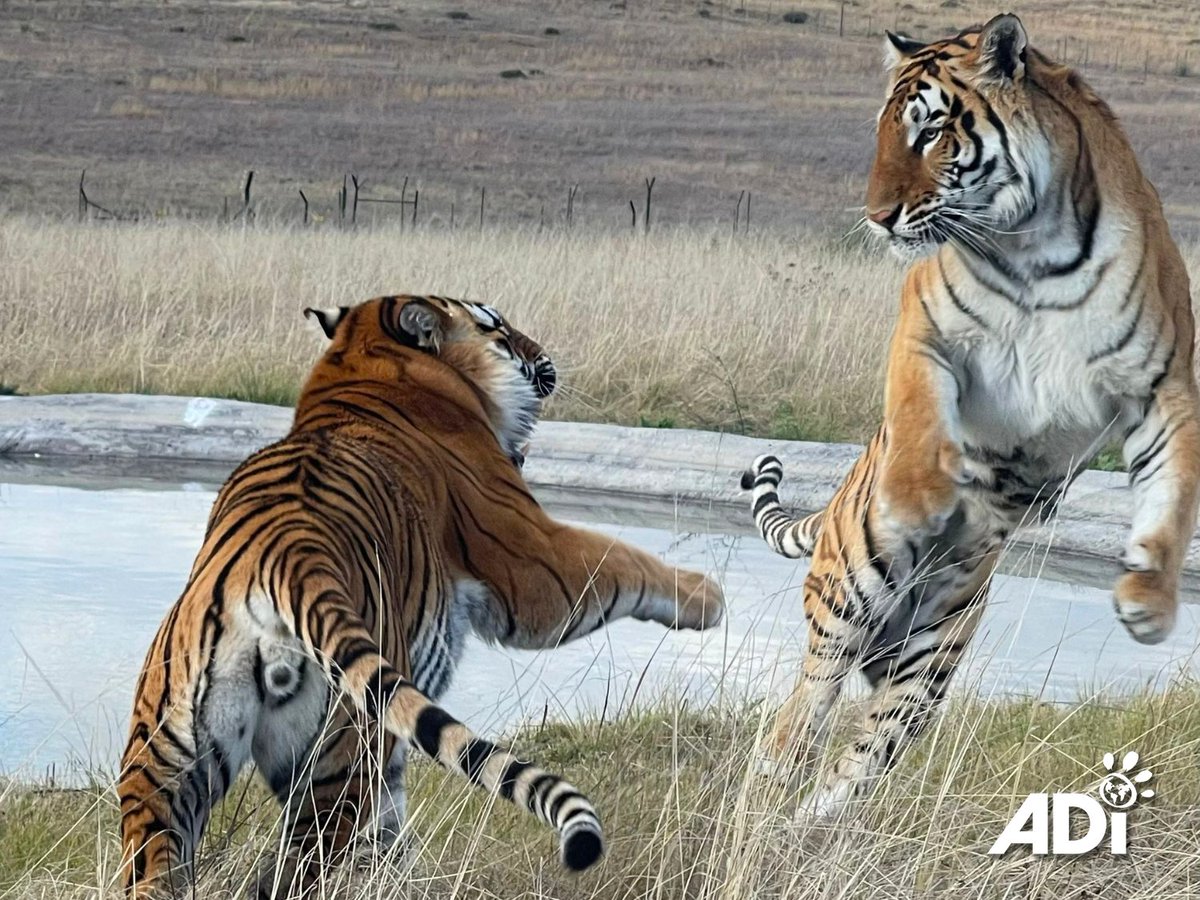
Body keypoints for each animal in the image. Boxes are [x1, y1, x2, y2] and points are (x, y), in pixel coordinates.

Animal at [118, 294, 725, 898]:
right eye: (497, 325)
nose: (545, 356)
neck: (362, 360)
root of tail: (285, 551)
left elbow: (392, 835)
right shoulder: (535, 558)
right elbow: (624, 558)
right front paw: (706, 597)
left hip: (164, 765)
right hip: (337, 766)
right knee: (297, 872)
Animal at [742, 13, 1199, 820]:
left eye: (928, 132)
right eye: (883, 132)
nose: (876, 219)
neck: (1040, 250)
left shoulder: (1161, 384)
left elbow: (1173, 498)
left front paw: (1149, 600)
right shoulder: (926, 324)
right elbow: (921, 412)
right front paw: (918, 497)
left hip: (926, 664)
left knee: (859, 761)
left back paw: (811, 824)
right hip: (848, 599)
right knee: (800, 716)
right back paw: (764, 797)